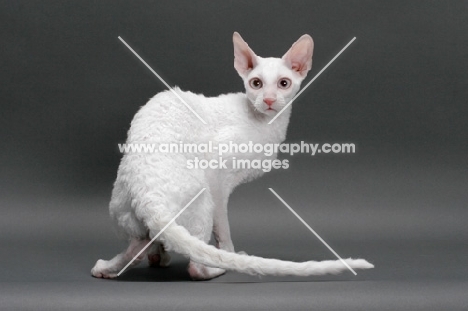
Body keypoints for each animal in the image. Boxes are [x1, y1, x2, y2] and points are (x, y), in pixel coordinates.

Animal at [92, 33, 372, 282]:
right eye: (256, 83)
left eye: (284, 83)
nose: (268, 100)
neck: (263, 122)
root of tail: (148, 197)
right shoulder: (217, 172)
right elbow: (223, 226)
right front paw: (227, 254)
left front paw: (159, 255)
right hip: (202, 200)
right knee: (195, 266)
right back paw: (217, 267)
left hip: (121, 206)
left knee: (139, 242)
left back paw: (115, 264)